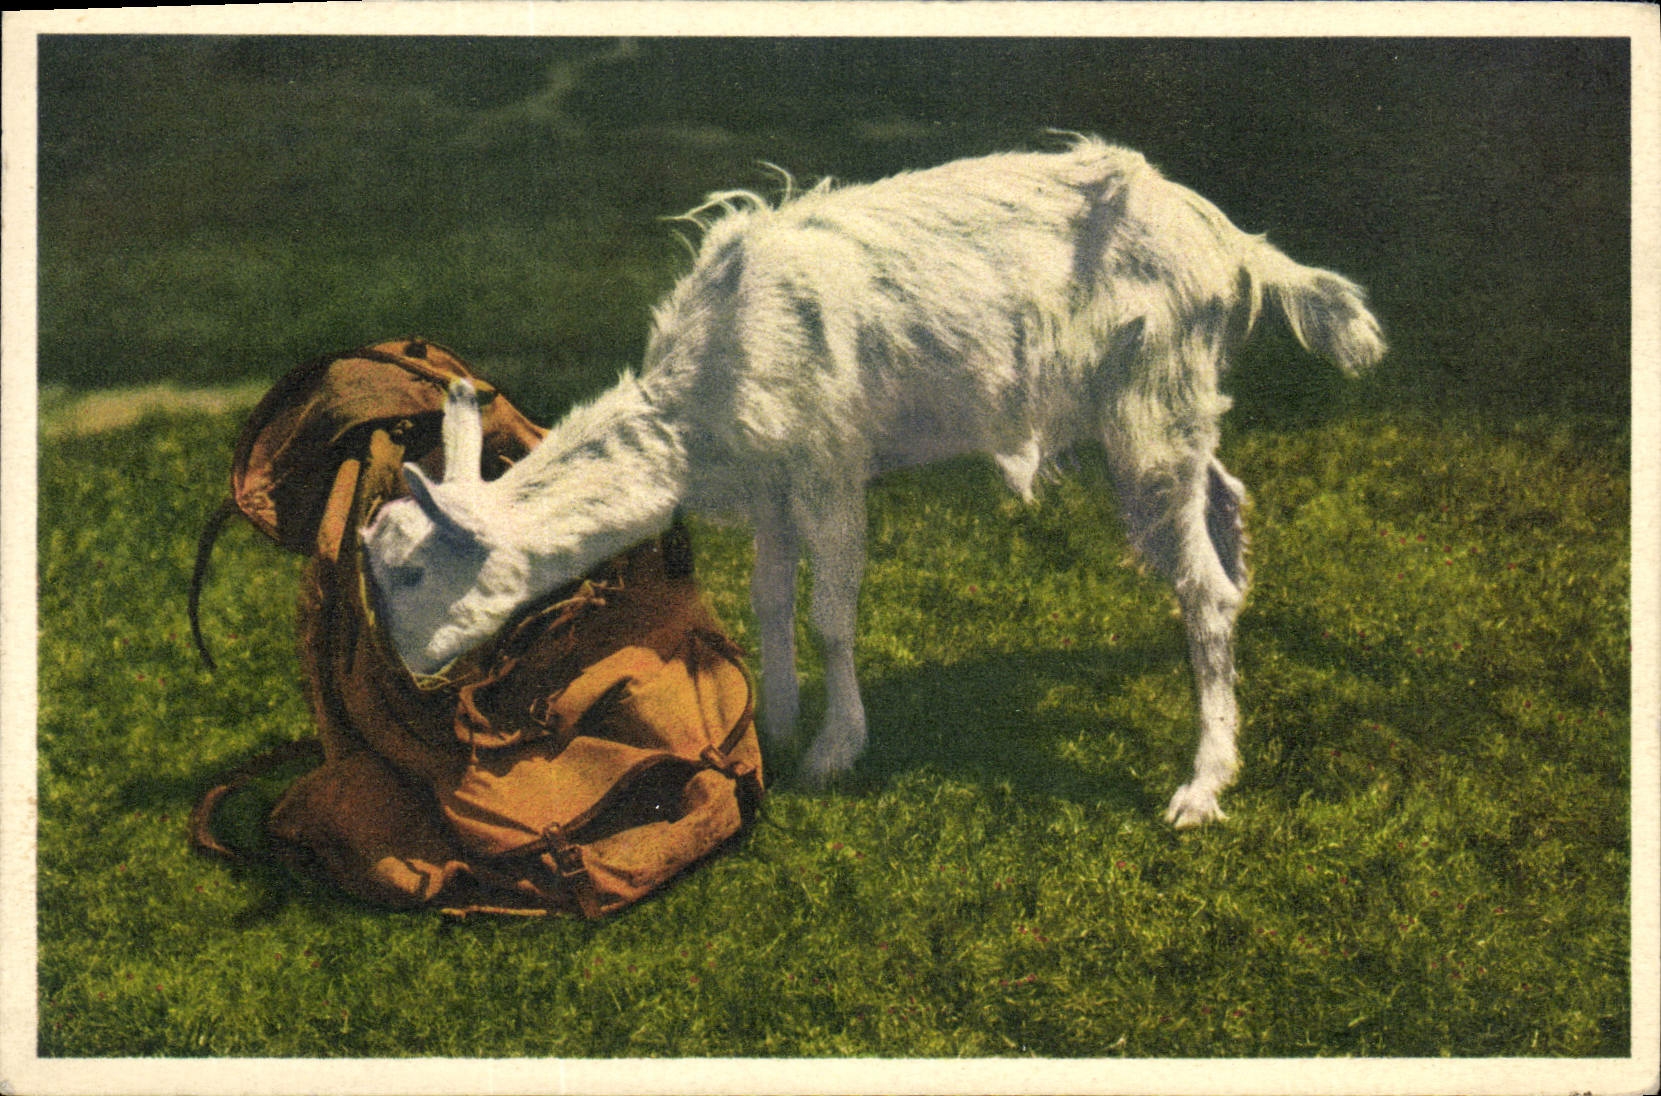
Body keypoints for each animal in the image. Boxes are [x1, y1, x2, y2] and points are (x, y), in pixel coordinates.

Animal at [362, 136, 1385, 827]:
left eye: (411, 573)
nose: (405, 675)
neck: (699, 404)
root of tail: (1233, 244)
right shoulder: (769, 483)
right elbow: (769, 598)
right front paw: (774, 724)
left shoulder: (827, 460)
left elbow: (830, 611)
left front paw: (832, 750)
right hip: (1171, 405)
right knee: (1224, 499)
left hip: (1151, 394)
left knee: (1198, 587)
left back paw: (1200, 785)